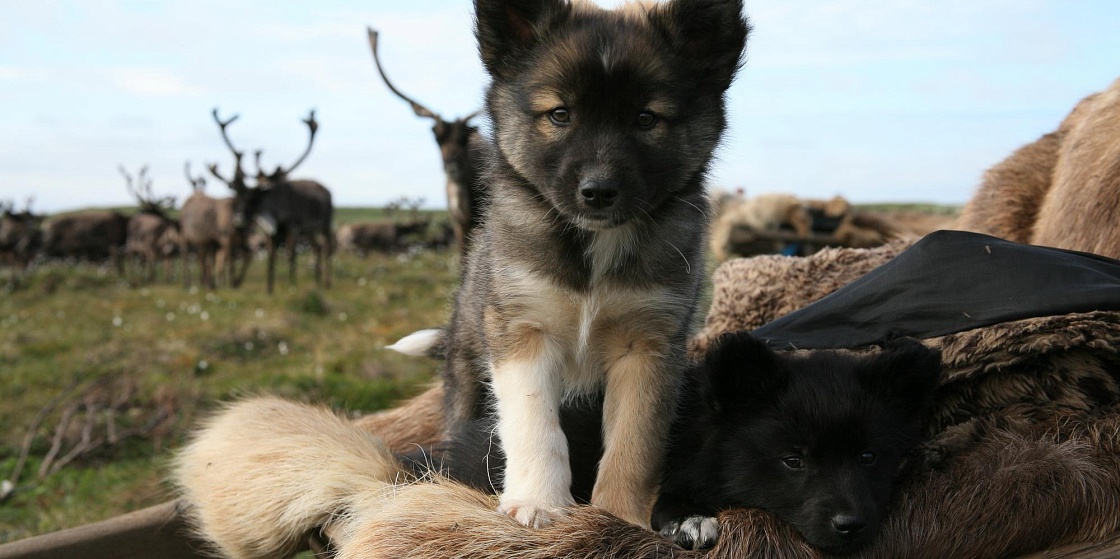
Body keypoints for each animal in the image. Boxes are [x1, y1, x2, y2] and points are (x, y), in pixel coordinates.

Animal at [441, 0, 748, 528]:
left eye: (646, 118)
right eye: (560, 114)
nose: (599, 191)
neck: (594, 247)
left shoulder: (649, 343)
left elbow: (634, 442)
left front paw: (620, 518)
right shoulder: (521, 328)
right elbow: (535, 422)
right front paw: (539, 501)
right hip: (466, 369)